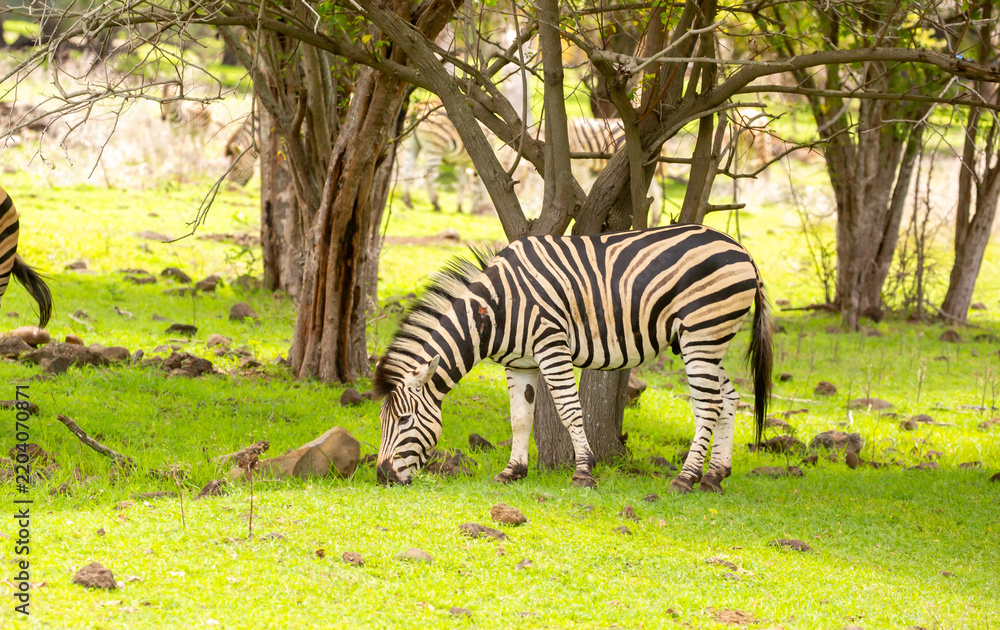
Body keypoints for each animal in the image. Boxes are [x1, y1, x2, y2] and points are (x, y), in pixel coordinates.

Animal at [373, 223, 772, 494]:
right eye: (381, 421)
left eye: (405, 420)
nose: (382, 476)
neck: (494, 311)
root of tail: (743, 250)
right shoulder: (519, 364)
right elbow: (520, 417)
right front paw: (512, 471)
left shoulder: (551, 345)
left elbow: (569, 410)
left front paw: (583, 471)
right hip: (707, 340)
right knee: (729, 399)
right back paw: (715, 475)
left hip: (701, 334)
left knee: (708, 406)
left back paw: (686, 478)